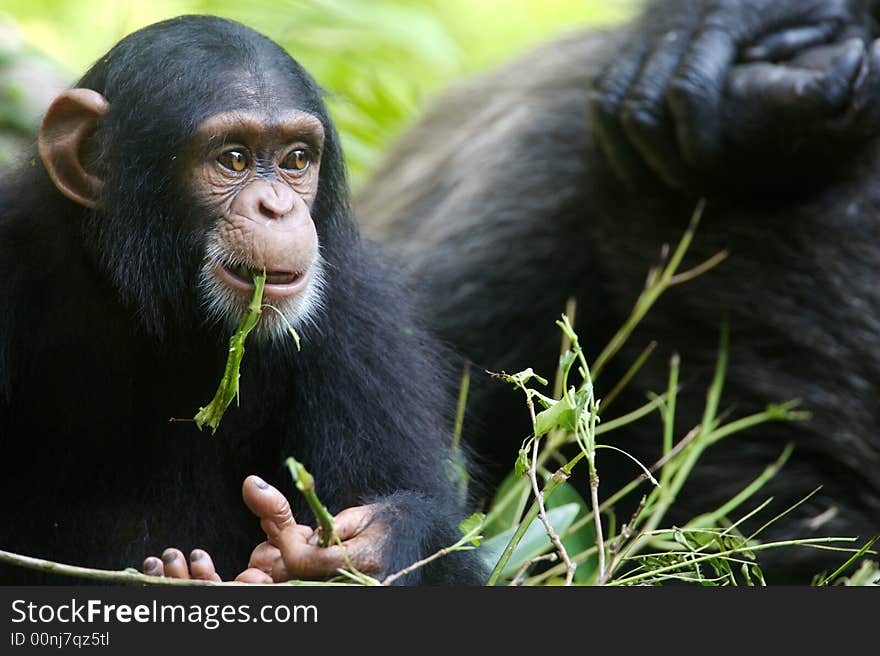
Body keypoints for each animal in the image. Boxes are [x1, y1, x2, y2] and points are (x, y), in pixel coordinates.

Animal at [0, 15, 488, 584]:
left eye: (296, 159)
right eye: (233, 158)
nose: (277, 207)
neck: (156, 308)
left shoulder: (365, 323)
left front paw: (355, 549)